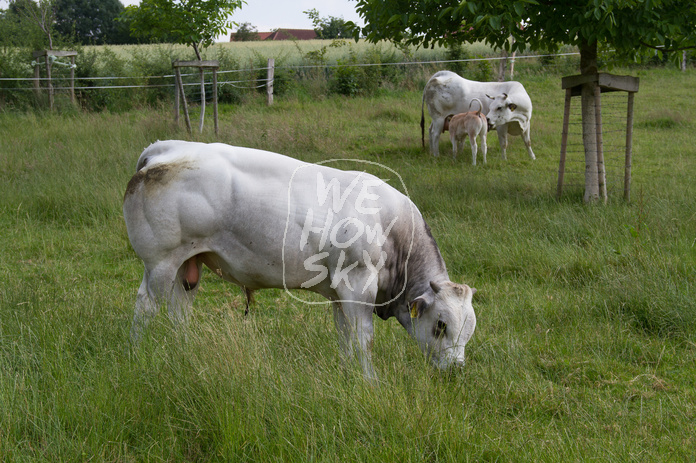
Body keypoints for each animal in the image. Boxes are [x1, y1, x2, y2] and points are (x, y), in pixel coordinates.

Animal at [122, 141, 476, 380]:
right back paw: (136, 355)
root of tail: (166, 149)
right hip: (160, 263)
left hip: (187, 265)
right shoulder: (359, 286)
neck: (392, 228)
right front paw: (370, 382)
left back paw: (184, 353)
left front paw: (347, 375)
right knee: (145, 307)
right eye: (441, 325)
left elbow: (345, 337)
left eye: (469, 330)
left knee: (178, 312)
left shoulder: (340, 293)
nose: (456, 371)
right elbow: (364, 339)